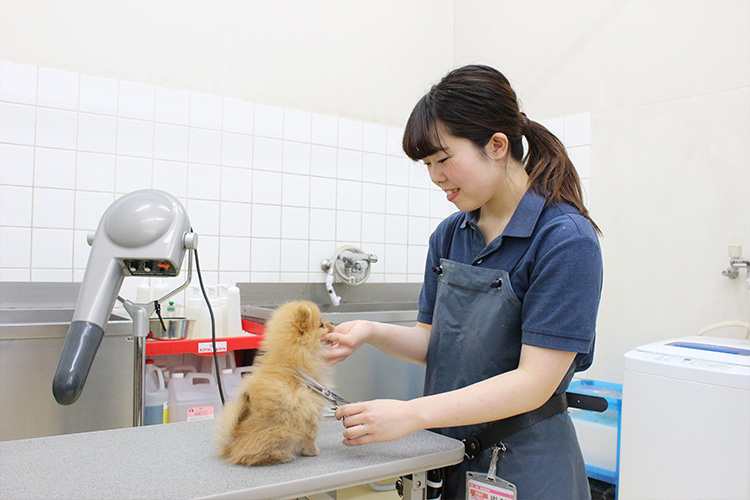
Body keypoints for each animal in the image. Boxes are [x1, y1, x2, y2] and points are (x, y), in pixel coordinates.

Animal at [217, 298, 334, 466]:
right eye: (321, 325)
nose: (332, 322)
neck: (292, 360)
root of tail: (232, 445)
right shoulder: (311, 412)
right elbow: (311, 436)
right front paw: (312, 451)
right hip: (283, 431)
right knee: (250, 456)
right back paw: (280, 456)